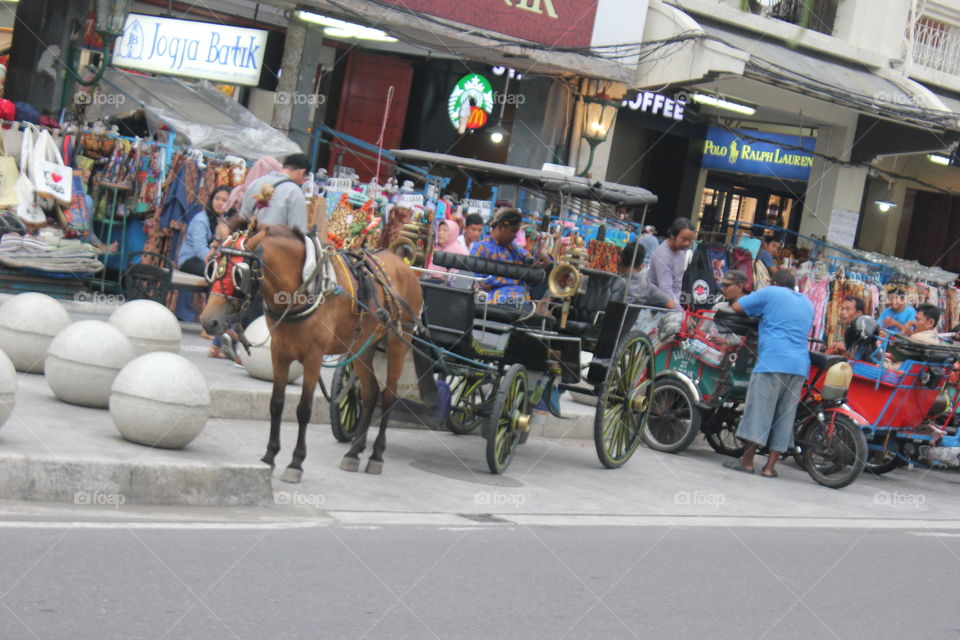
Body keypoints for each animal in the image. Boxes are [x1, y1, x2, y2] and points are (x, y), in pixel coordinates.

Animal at [201, 224, 422, 480]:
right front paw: (270, 456)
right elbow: (276, 404)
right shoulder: (279, 353)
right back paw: (354, 452)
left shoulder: (313, 358)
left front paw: (296, 463)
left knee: (388, 397)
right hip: (362, 348)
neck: (304, 287)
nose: (208, 321)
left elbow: (303, 410)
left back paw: (376, 455)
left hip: (398, 344)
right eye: (212, 268)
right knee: (370, 394)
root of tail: (404, 265)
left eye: (239, 275)